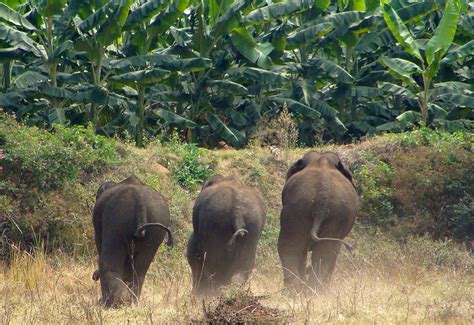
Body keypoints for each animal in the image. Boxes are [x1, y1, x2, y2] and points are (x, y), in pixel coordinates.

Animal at [91, 175, 173, 306]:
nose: (94, 276)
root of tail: (140, 203)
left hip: (118, 220)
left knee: (108, 261)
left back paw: (110, 303)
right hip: (156, 230)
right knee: (140, 271)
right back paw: (131, 302)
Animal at [276, 152, 358, 292]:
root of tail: (322, 201)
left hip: (308, 210)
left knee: (296, 246)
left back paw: (302, 290)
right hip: (303, 209)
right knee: (321, 250)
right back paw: (309, 290)